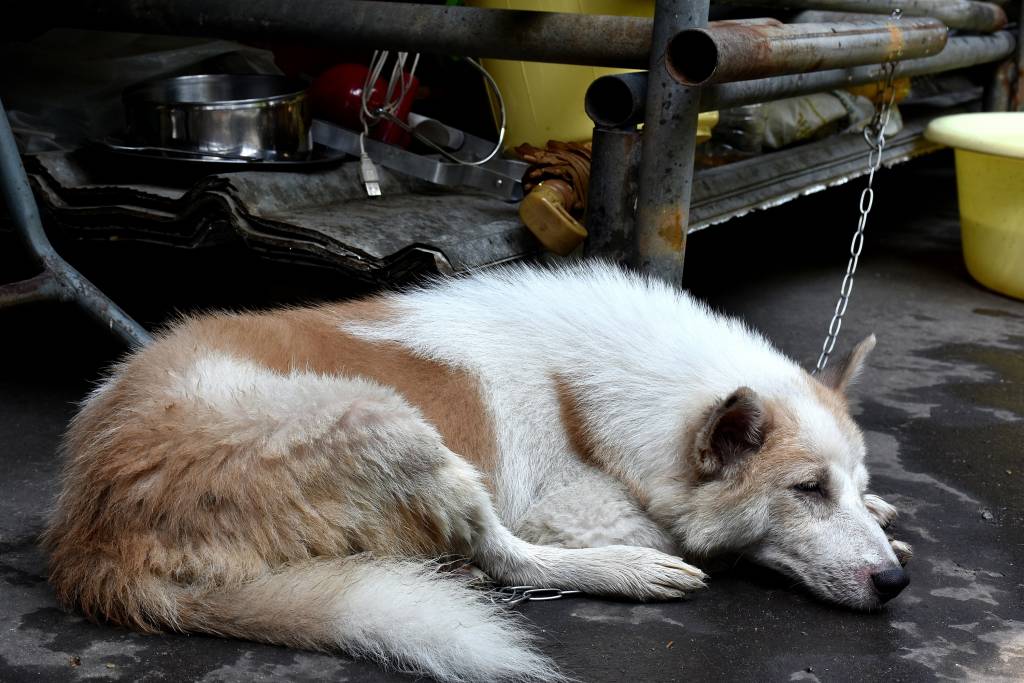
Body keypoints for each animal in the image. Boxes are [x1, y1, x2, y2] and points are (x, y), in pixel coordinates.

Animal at [44, 263, 912, 681]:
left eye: (847, 482)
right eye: (805, 491)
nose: (896, 585)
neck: (589, 392)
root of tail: (90, 540)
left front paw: (885, 511)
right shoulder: (571, 506)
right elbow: (689, 533)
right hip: (387, 419)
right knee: (503, 557)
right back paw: (624, 570)